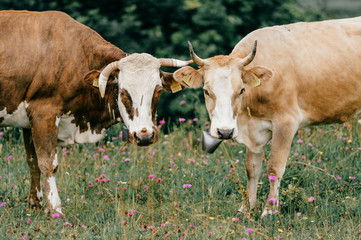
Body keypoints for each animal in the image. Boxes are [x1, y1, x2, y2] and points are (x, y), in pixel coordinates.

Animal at [0, 10, 191, 218]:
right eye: (123, 92)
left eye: (158, 90)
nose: (145, 136)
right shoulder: (43, 113)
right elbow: (48, 164)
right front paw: (56, 210)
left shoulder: (29, 122)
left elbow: (33, 161)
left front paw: (35, 206)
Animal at [173, 17, 360, 218]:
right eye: (207, 91)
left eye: (241, 90)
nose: (225, 131)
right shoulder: (253, 131)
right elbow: (252, 169)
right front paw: (246, 209)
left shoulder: (286, 122)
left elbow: (274, 168)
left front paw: (269, 210)